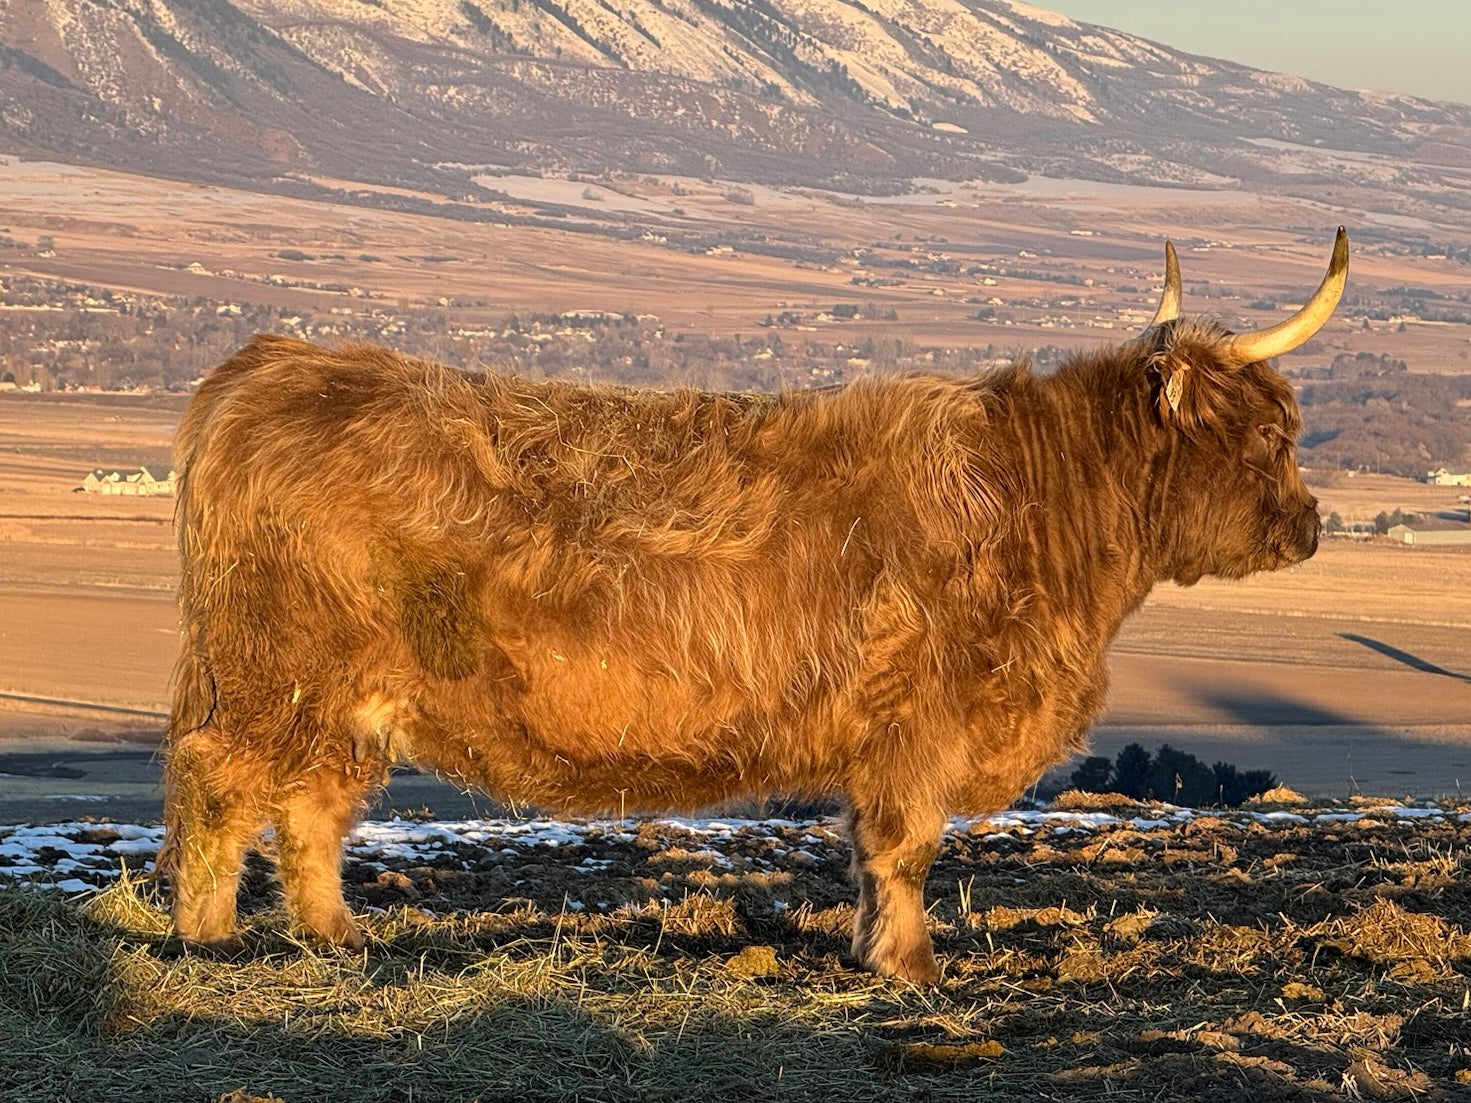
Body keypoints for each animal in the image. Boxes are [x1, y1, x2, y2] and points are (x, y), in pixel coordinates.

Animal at [161, 230, 1347, 983]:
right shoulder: (918, 722)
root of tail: (270, 365)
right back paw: (208, 936)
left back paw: (335, 934)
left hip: (348, 696)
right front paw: (912, 965)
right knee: (224, 781)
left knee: (314, 804)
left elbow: (870, 849)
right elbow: (906, 846)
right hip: (276, 671)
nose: (1309, 525)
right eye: (1268, 433)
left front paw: (872, 948)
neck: (1042, 500)